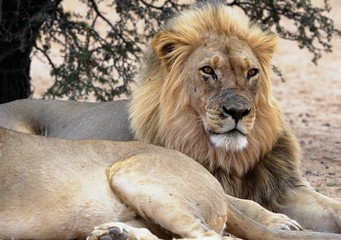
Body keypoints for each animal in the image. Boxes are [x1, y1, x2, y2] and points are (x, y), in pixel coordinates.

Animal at [128, 1, 340, 234]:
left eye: (252, 72)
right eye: (208, 70)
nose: (237, 112)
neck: (230, 157)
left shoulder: (283, 186)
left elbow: (331, 205)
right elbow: (245, 204)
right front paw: (277, 221)